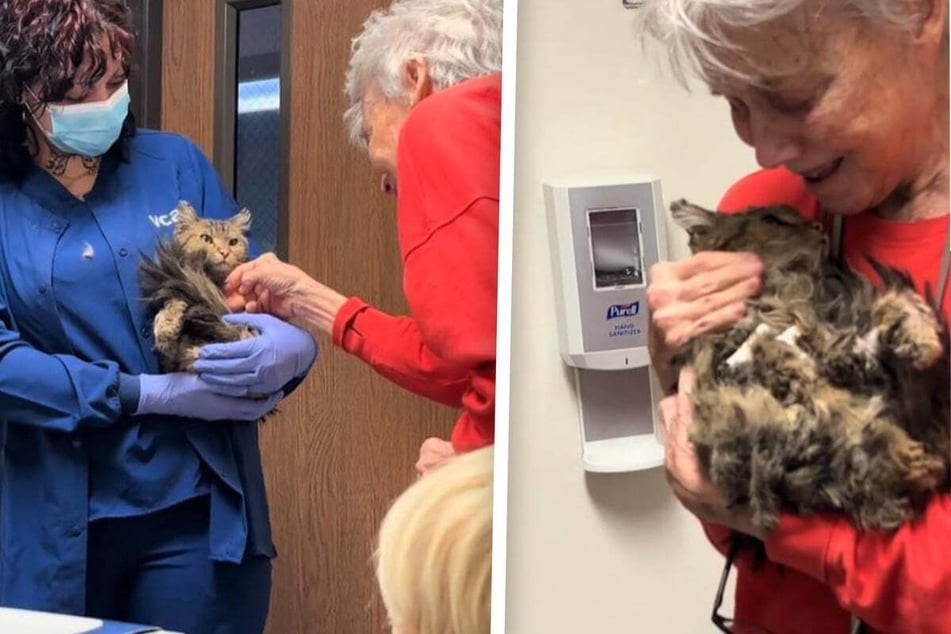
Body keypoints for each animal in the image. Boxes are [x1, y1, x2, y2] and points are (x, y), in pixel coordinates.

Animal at [138, 201, 256, 370]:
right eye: (206, 238)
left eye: (233, 242)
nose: (224, 252)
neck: (211, 280)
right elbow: (171, 306)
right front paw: (166, 327)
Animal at [668, 200, 951, 532]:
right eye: (772, 220)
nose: (818, 227)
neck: (792, 290)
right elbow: (799, 375)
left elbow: (896, 302)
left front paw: (920, 339)